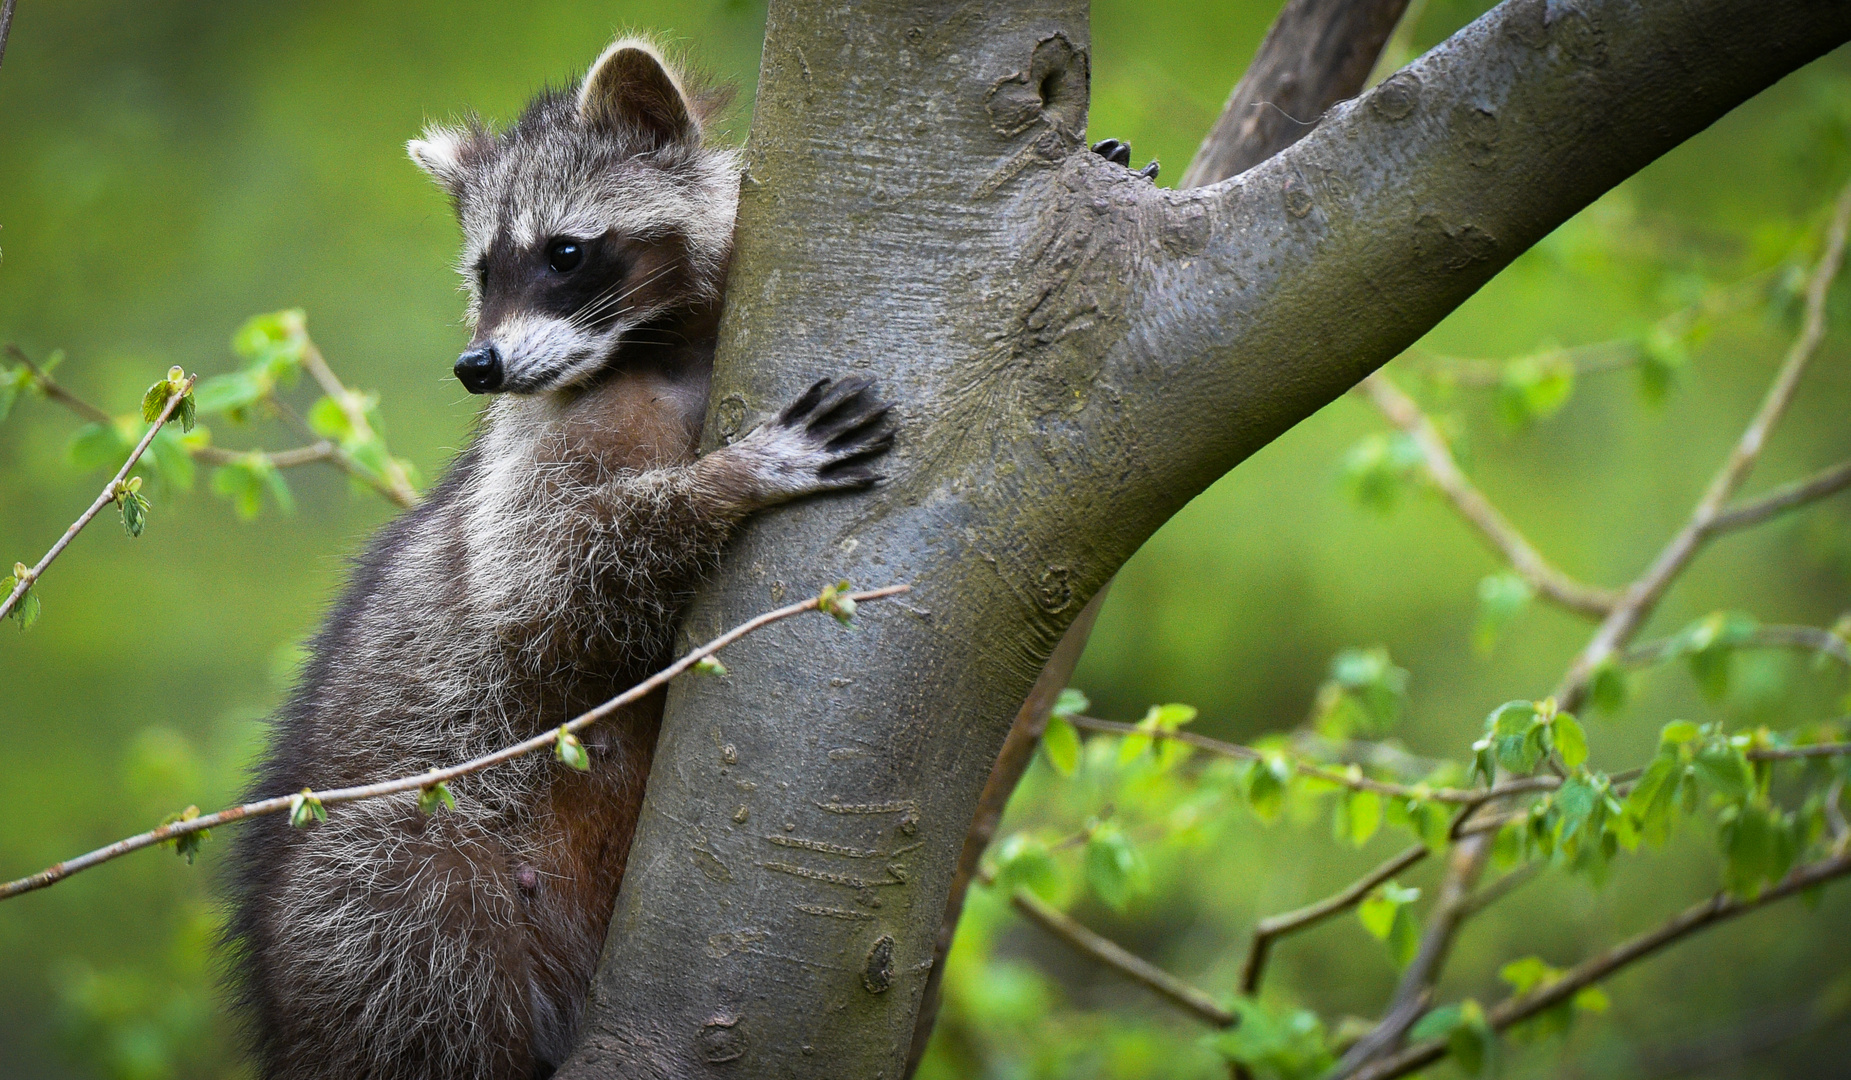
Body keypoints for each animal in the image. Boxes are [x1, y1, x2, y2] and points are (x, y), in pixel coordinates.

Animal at [220, 37, 899, 1074]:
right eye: (480, 271)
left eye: (564, 253)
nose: (477, 367)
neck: (655, 347)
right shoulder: (535, 447)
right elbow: (542, 583)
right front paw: (728, 481)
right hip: (380, 893)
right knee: (428, 957)